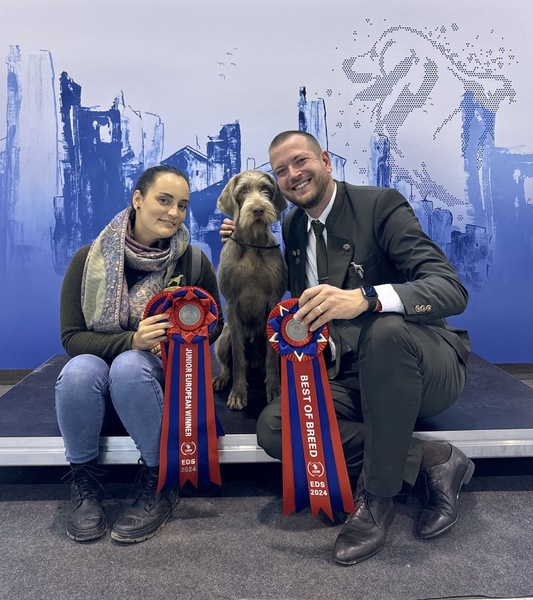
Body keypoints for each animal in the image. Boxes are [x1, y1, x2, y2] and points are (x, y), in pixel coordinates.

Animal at [211, 171, 286, 410]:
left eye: (266, 189)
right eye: (243, 190)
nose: (259, 210)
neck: (253, 244)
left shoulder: (274, 300)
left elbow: (271, 356)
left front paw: (274, 390)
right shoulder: (231, 302)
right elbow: (237, 355)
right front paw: (237, 393)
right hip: (223, 336)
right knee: (228, 364)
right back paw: (223, 379)